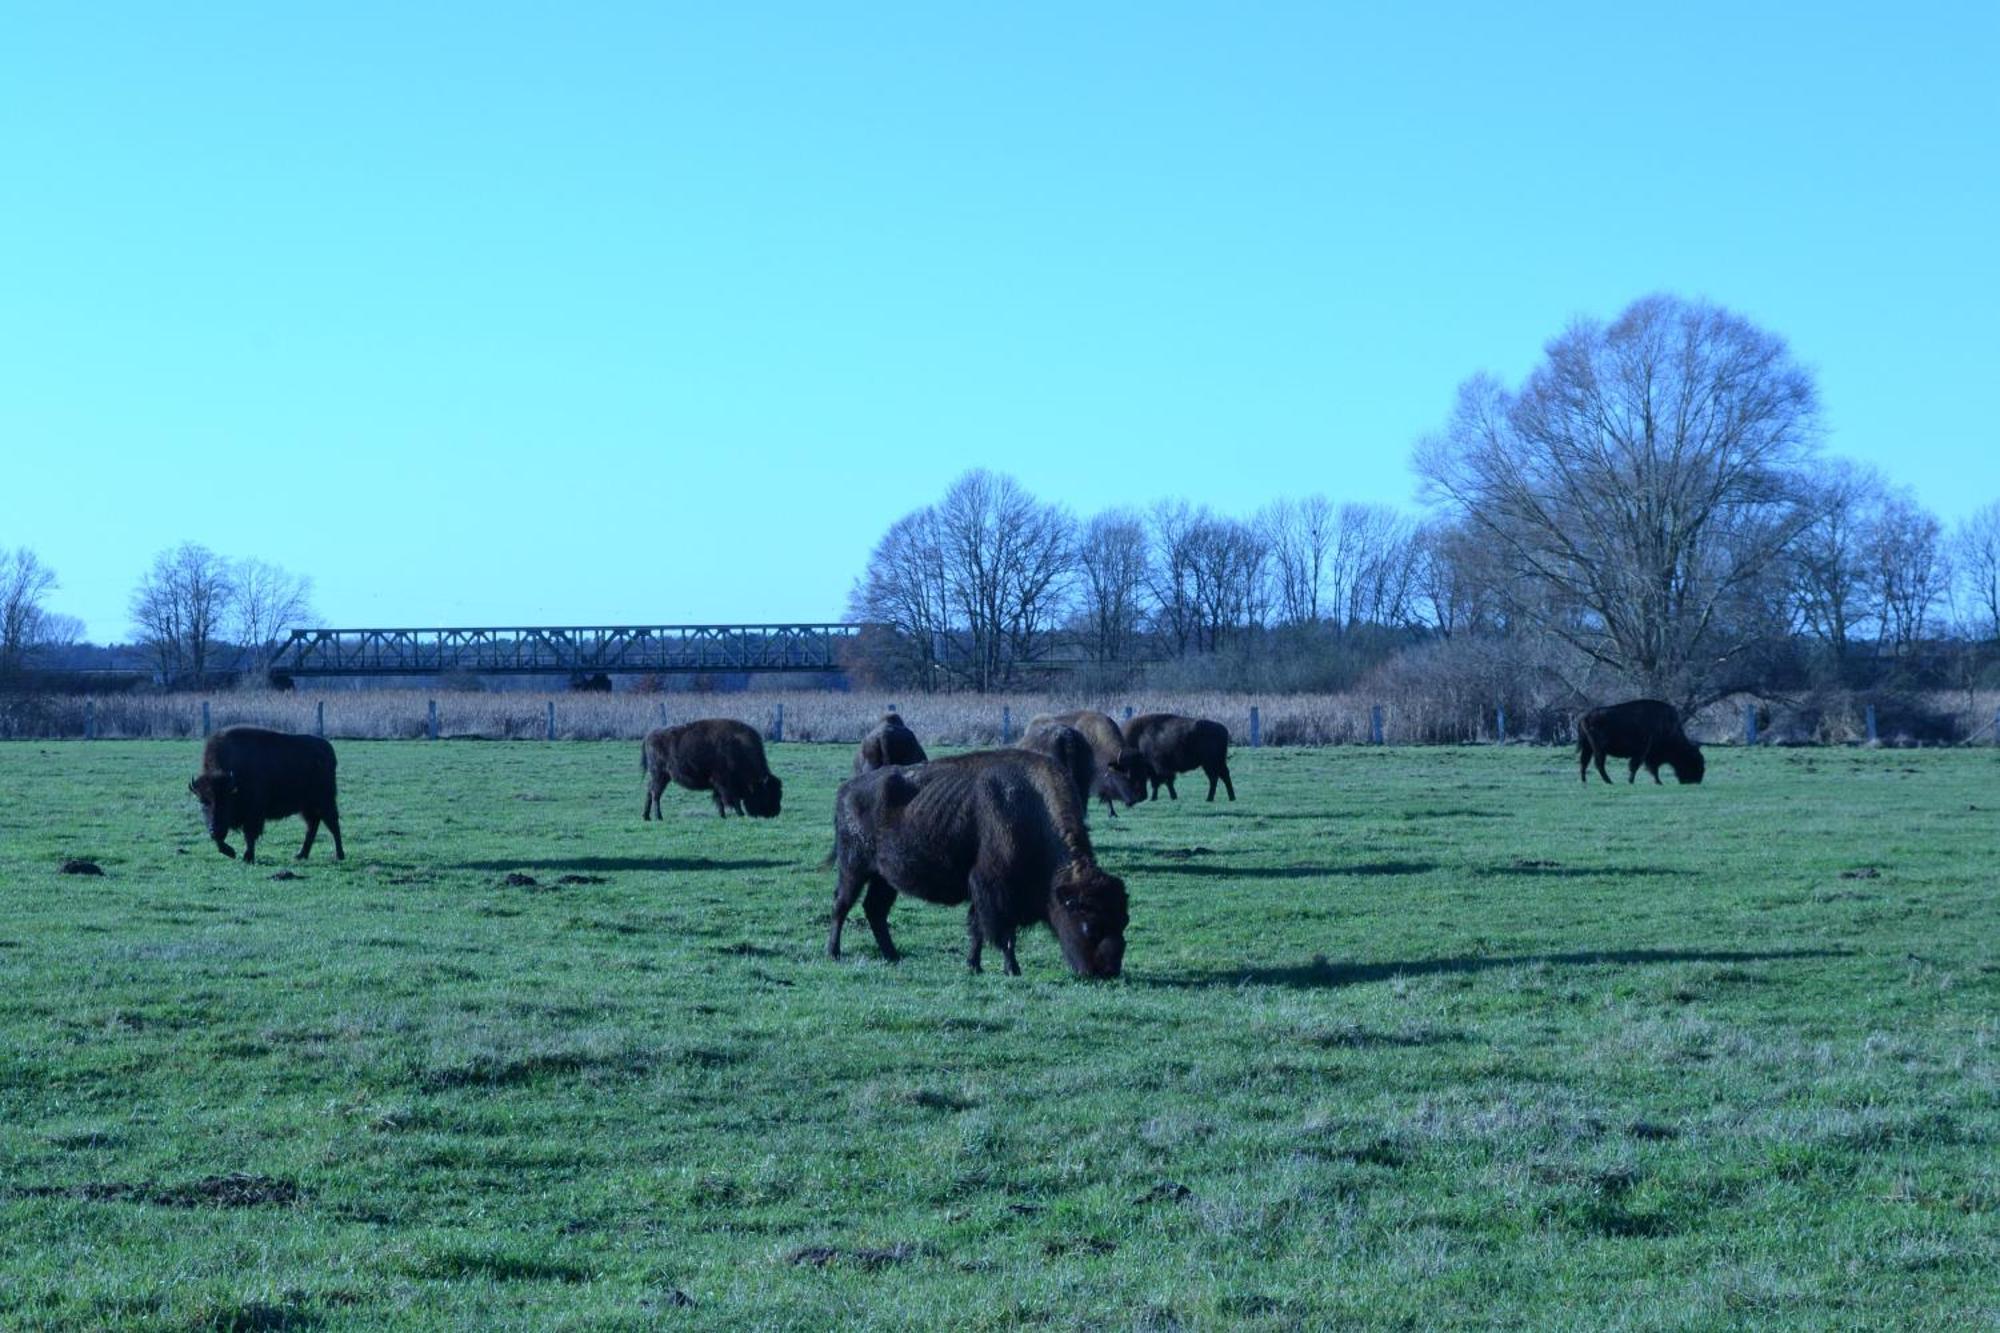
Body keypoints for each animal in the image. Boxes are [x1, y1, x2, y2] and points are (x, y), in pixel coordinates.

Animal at [188, 728, 344, 860]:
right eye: (202, 801)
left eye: (225, 801)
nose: (214, 830)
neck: (234, 780)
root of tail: (327, 749)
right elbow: (224, 840)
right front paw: (231, 852)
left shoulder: (253, 813)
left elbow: (250, 834)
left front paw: (247, 857)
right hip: (308, 806)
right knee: (312, 825)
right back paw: (301, 855)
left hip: (325, 801)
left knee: (333, 824)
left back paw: (339, 855)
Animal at [648, 720, 788, 816]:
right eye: (768, 793)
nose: (774, 812)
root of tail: (652, 735)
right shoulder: (724, 783)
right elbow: (730, 799)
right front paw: (739, 814)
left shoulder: (719, 784)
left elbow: (720, 799)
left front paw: (723, 815)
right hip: (661, 775)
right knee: (655, 794)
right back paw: (658, 817)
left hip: (660, 776)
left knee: (650, 792)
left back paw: (647, 817)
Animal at [828, 748, 1136, 976]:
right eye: (1090, 927)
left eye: (1123, 921)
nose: (1107, 972)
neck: (1031, 812)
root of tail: (846, 790)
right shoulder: (994, 890)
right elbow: (1003, 933)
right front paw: (1012, 969)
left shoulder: (985, 895)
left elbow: (977, 929)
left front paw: (974, 965)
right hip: (854, 869)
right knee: (841, 906)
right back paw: (834, 953)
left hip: (884, 878)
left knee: (875, 911)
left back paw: (893, 956)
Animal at [1576, 696, 1704, 780]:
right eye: (1693, 758)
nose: (1698, 778)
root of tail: (1585, 717)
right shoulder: (1643, 752)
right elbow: (1637, 766)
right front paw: (1632, 781)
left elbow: (1647, 767)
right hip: (1599, 749)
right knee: (1598, 764)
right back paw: (1609, 781)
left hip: (1588, 748)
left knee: (1584, 762)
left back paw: (1585, 782)